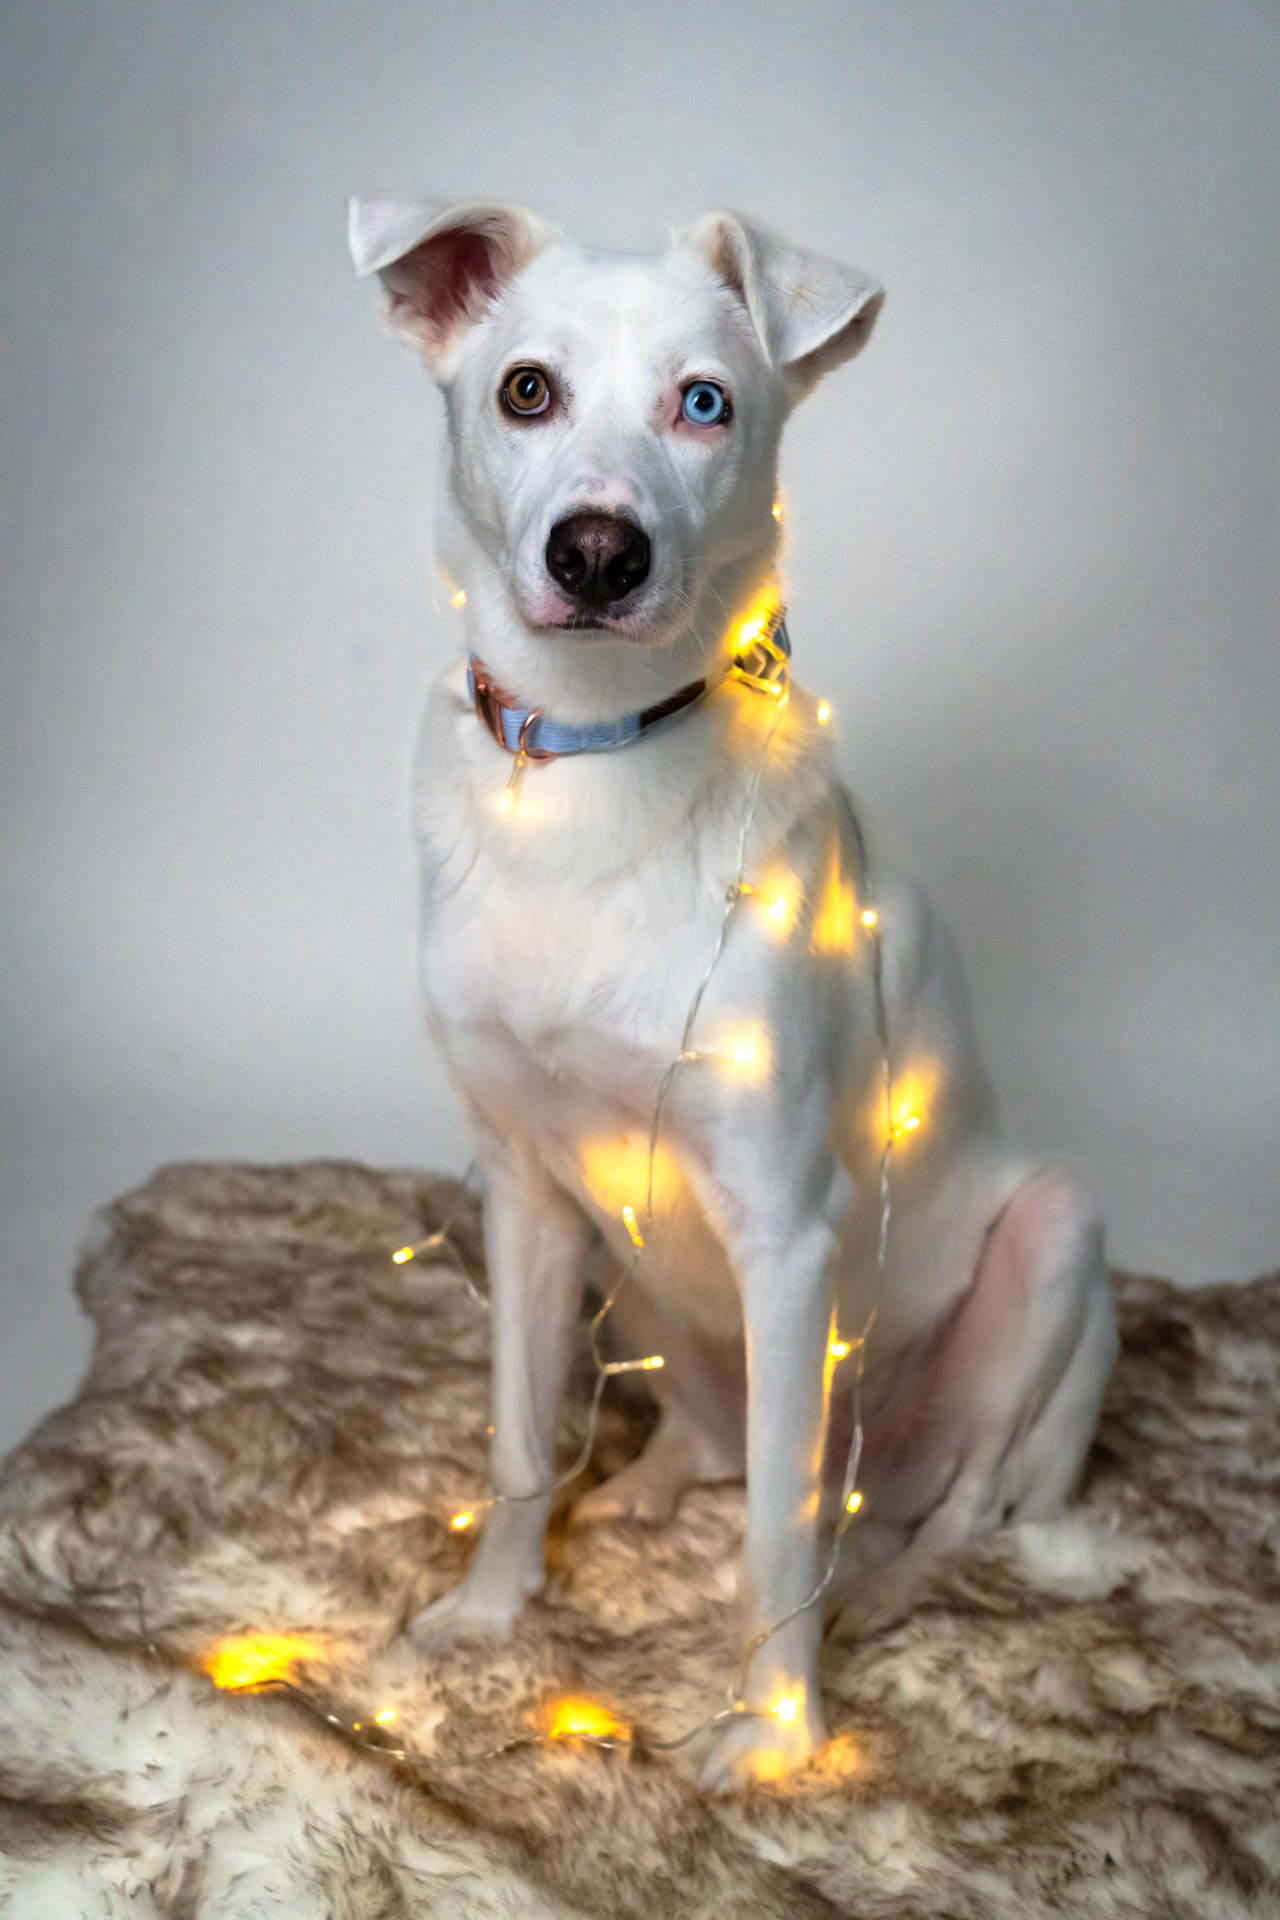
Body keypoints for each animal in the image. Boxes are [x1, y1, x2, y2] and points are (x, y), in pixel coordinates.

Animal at [345, 194, 1113, 1781]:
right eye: (526, 390)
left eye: (705, 404)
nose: (597, 553)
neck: (590, 773)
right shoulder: (522, 1185)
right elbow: (517, 1442)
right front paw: (490, 1616)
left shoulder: (788, 1236)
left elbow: (773, 1527)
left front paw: (771, 1739)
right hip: (633, 1264)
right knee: (712, 1442)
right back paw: (641, 1494)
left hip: (1051, 1250)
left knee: (946, 1513)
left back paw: (876, 1594)